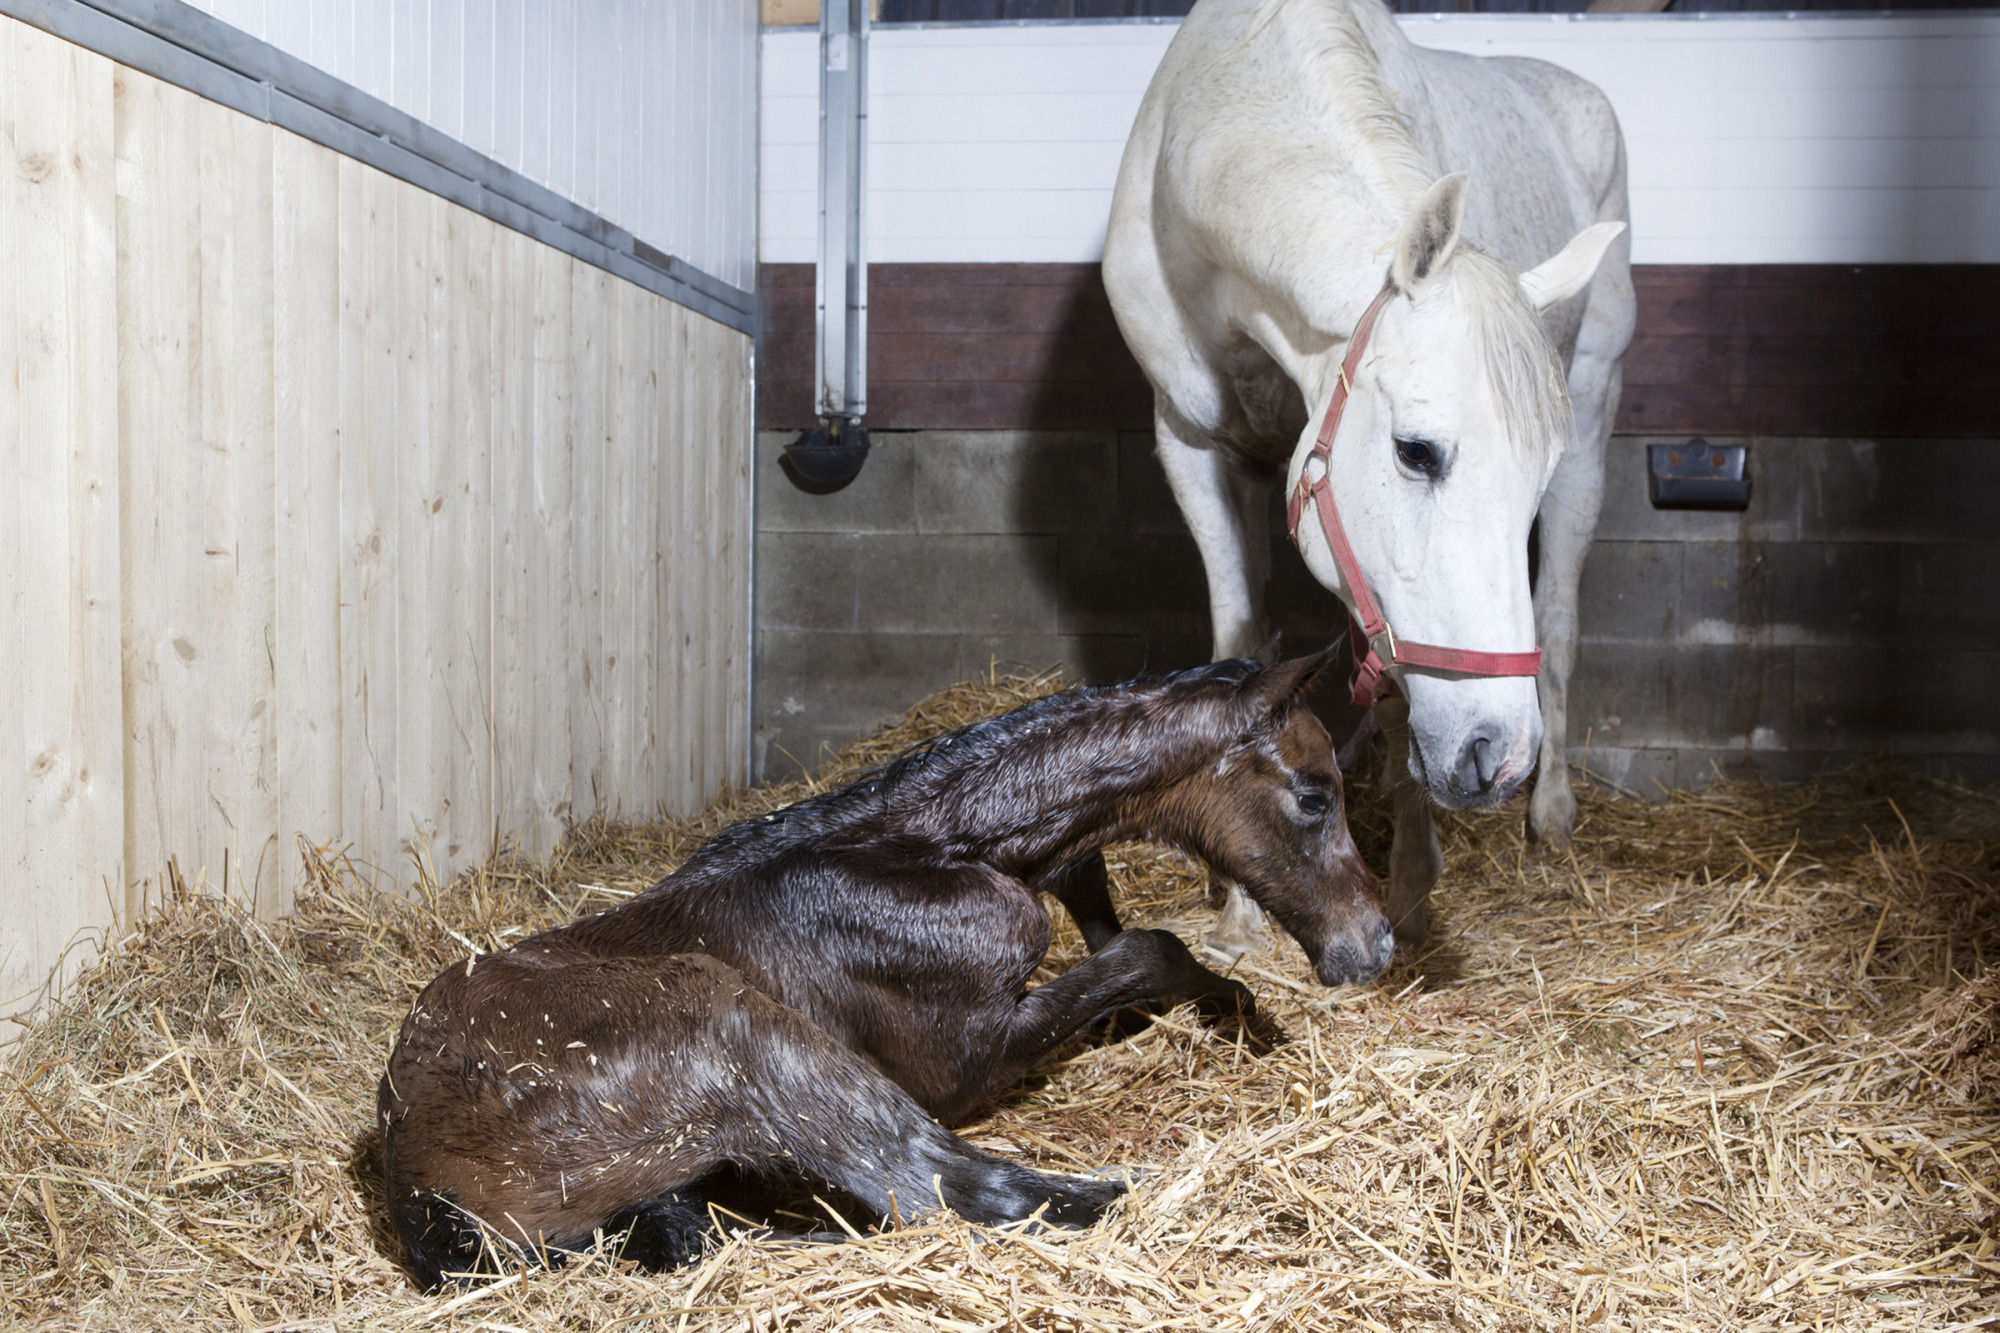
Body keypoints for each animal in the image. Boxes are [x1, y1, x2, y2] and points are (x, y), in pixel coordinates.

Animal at [378, 644, 1390, 1290]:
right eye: (1314, 794)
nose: (1373, 944)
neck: (926, 851)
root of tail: (415, 1183)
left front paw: (1240, 1014)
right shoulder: (963, 1061)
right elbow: (1151, 947)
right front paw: (1248, 1021)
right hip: (740, 1029)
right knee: (945, 1184)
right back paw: (1163, 1185)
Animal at [1101, 0, 1635, 954]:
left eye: (1529, 480)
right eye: (1416, 450)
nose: (1498, 756)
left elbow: (1391, 685)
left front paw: (1414, 886)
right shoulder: (1192, 443)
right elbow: (1243, 646)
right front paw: (1238, 906)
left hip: (1596, 419)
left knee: (1561, 624)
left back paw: (1551, 818)